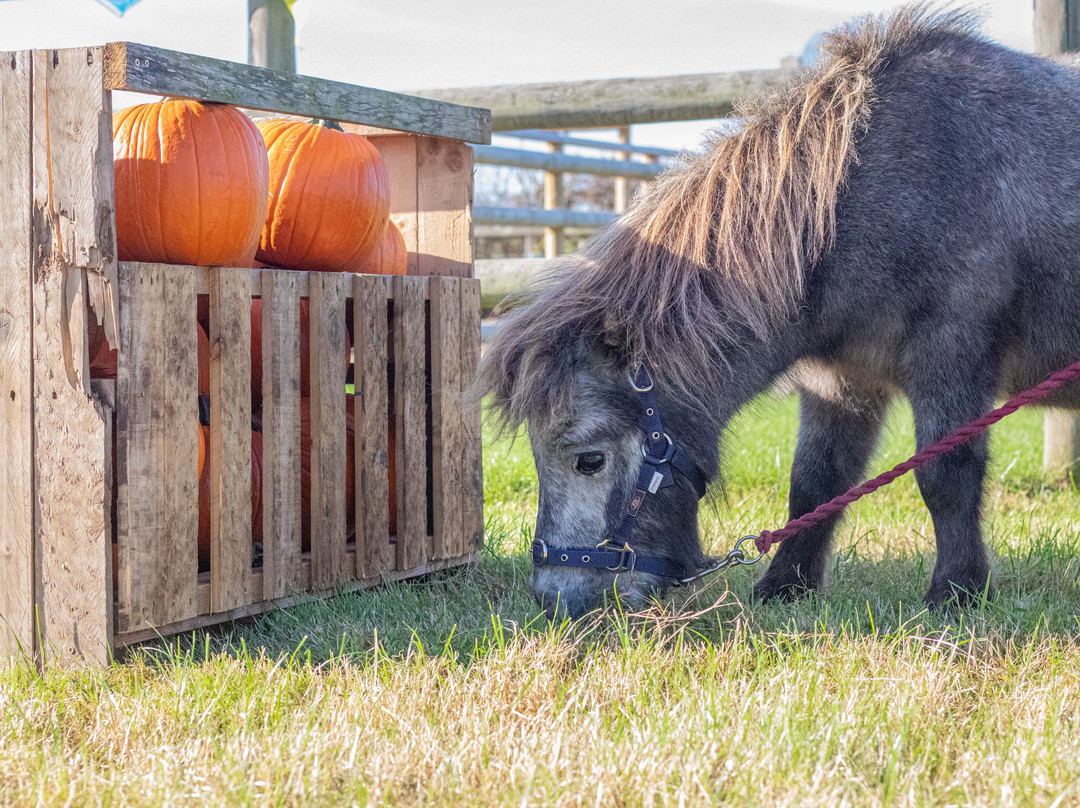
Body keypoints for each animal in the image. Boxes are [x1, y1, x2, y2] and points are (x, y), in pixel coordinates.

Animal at [477, 5, 1080, 618]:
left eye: (589, 460)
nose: (558, 602)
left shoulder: (950, 357)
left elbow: (946, 476)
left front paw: (956, 592)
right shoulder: (841, 379)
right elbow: (815, 480)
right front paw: (785, 584)